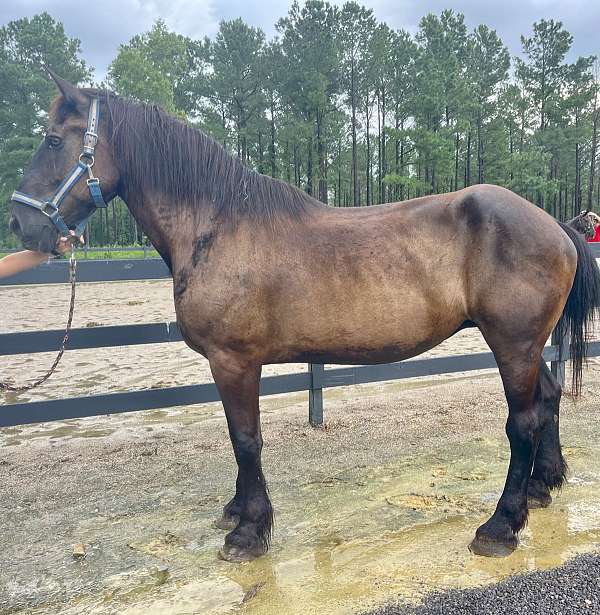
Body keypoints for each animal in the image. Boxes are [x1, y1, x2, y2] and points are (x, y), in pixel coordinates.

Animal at [8, 73, 600, 564]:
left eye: (54, 140)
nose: (19, 223)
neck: (217, 225)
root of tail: (554, 224)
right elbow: (240, 440)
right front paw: (237, 511)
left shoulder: (233, 362)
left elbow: (245, 438)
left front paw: (249, 532)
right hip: (527, 347)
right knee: (547, 402)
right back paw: (541, 489)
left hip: (513, 345)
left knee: (522, 422)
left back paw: (500, 526)